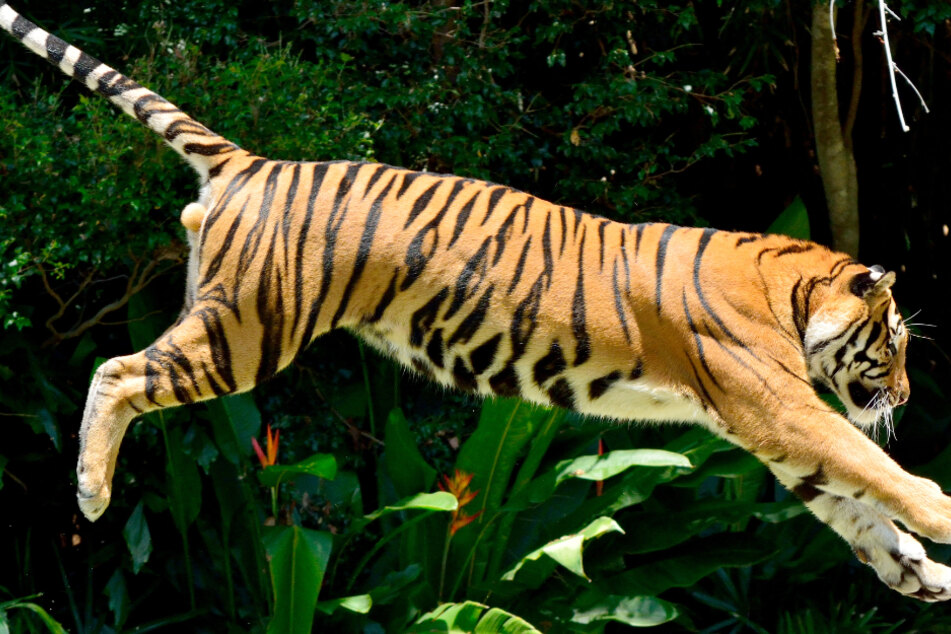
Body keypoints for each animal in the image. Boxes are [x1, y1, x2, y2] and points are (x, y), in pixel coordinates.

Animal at [3, 2, 951, 602]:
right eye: (895, 342)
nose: (906, 396)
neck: (790, 290)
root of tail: (252, 163)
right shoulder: (779, 407)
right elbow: (877, 471)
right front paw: (942, 521)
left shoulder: (764, 432)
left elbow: (859, 511)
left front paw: (920, 575)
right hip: (246, 331)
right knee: (114, 369)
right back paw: (91, 494)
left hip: (224, 319)